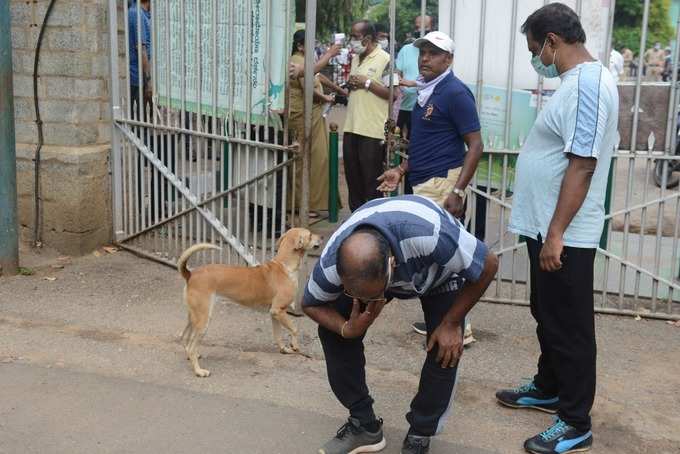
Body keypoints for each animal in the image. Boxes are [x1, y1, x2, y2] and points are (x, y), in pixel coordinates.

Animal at [177, 227, 322, 376]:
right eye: (310, 235)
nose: (322, 237)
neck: (284, 266)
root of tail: (190, 274)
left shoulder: (275, 314)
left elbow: (278, 336)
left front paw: (284, 349)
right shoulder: (279, 311)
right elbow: (294, 329)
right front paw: (295, 346)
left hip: (194, 317)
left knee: (185, 338)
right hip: (203, 320)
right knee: (191, 347)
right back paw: (199, 371)